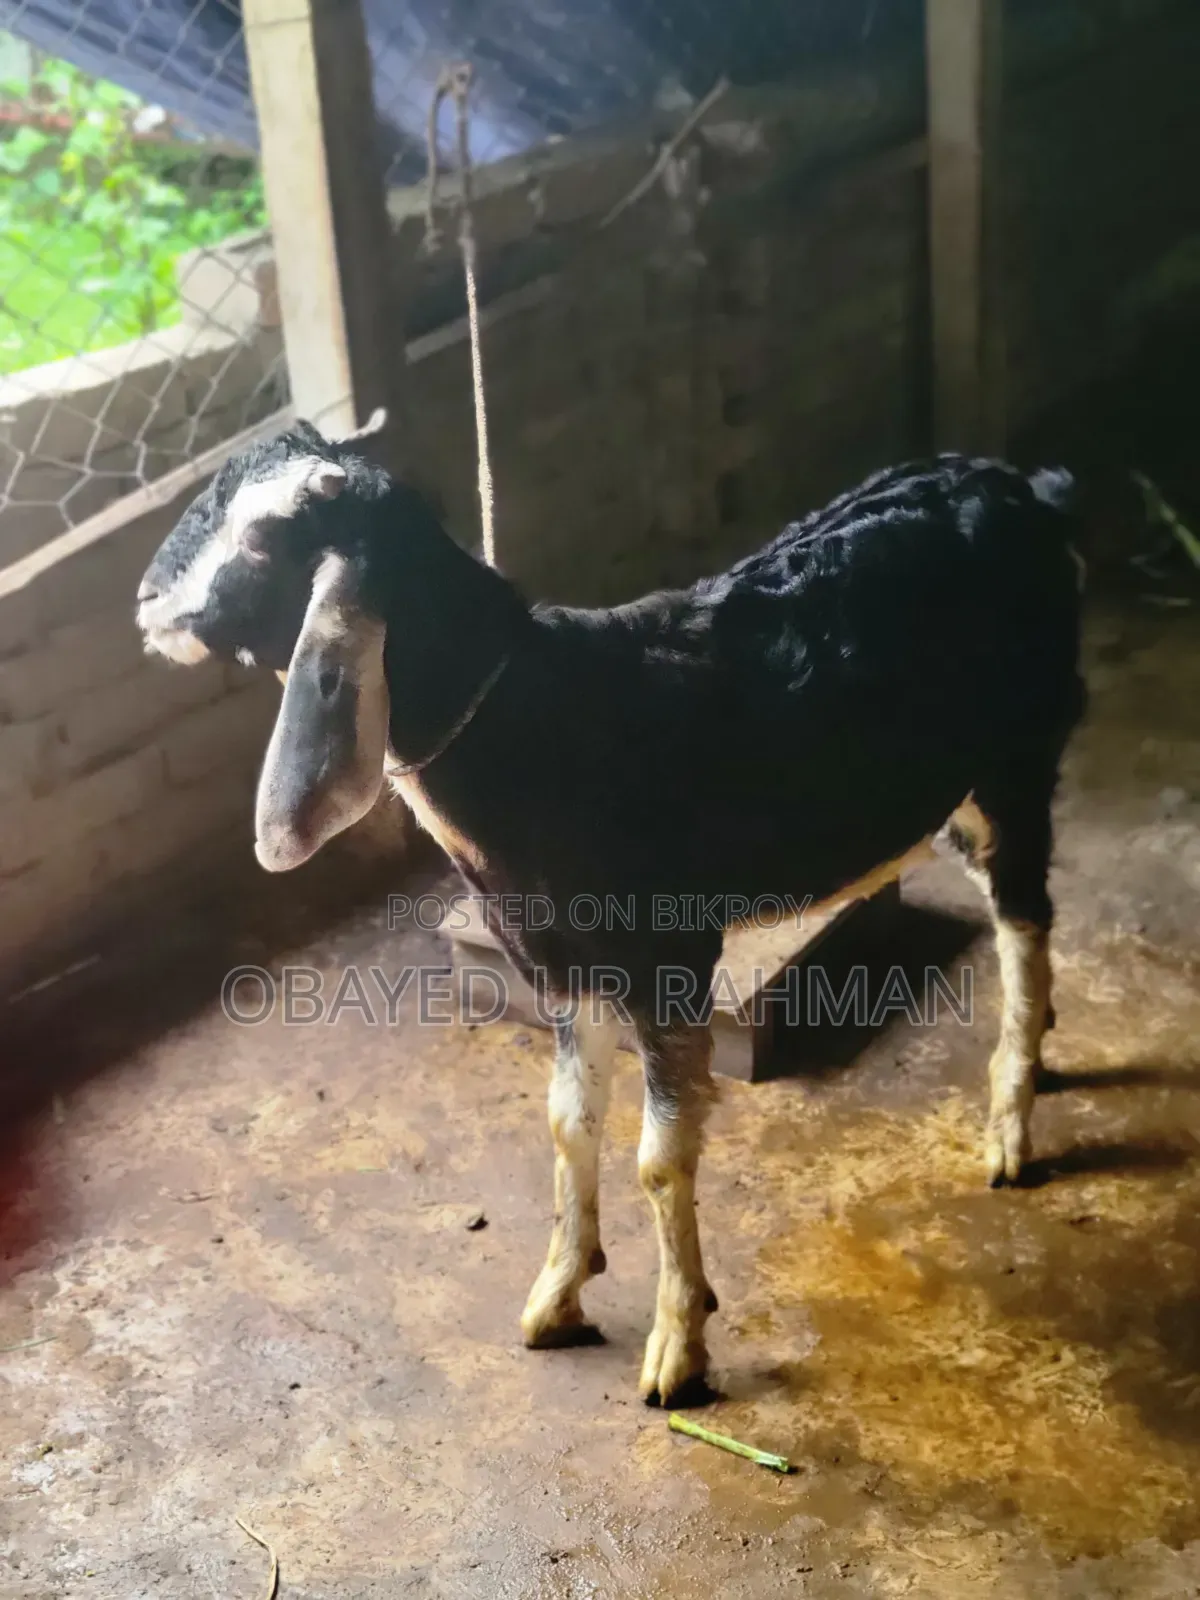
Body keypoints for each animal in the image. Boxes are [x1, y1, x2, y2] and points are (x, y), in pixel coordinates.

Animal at [135, 422, 1086, 1406]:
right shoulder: (561, 964)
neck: (532, 721)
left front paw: (678, 1346)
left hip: (1016, 758)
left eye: (262, 538)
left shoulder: (668, 962)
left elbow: (659, 1160)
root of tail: (1024, 488)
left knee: (1027, 921)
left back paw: (1011, 1121)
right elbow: (568, 1121)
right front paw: (559, 1291)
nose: (145, 602)